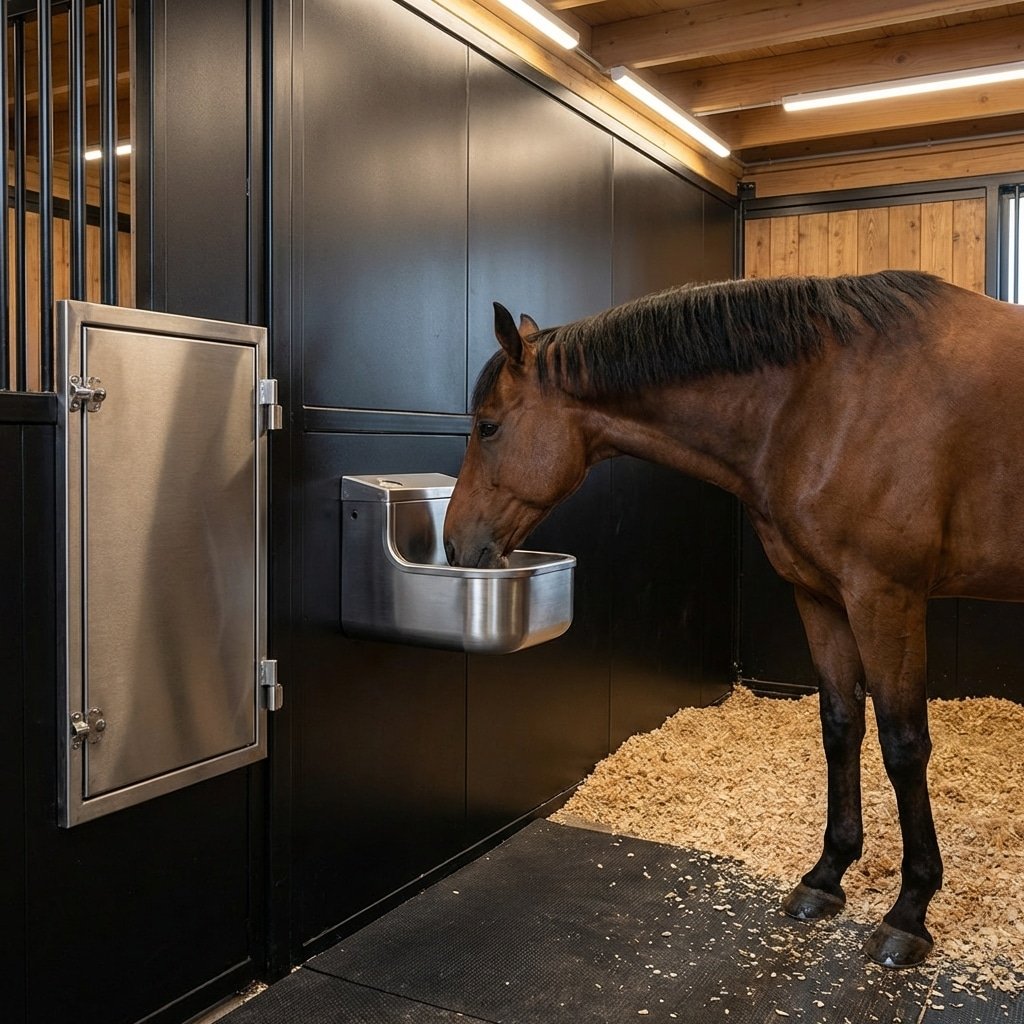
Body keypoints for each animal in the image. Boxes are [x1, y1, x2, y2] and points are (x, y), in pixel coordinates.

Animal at [442, 270, 1024, 969]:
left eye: (488, 427)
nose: (454, 546)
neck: (828, 399)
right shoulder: (821, 596)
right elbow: (841, 726)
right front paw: (826, 877)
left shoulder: (887, 597)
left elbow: (903, 745)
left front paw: (909, 911)